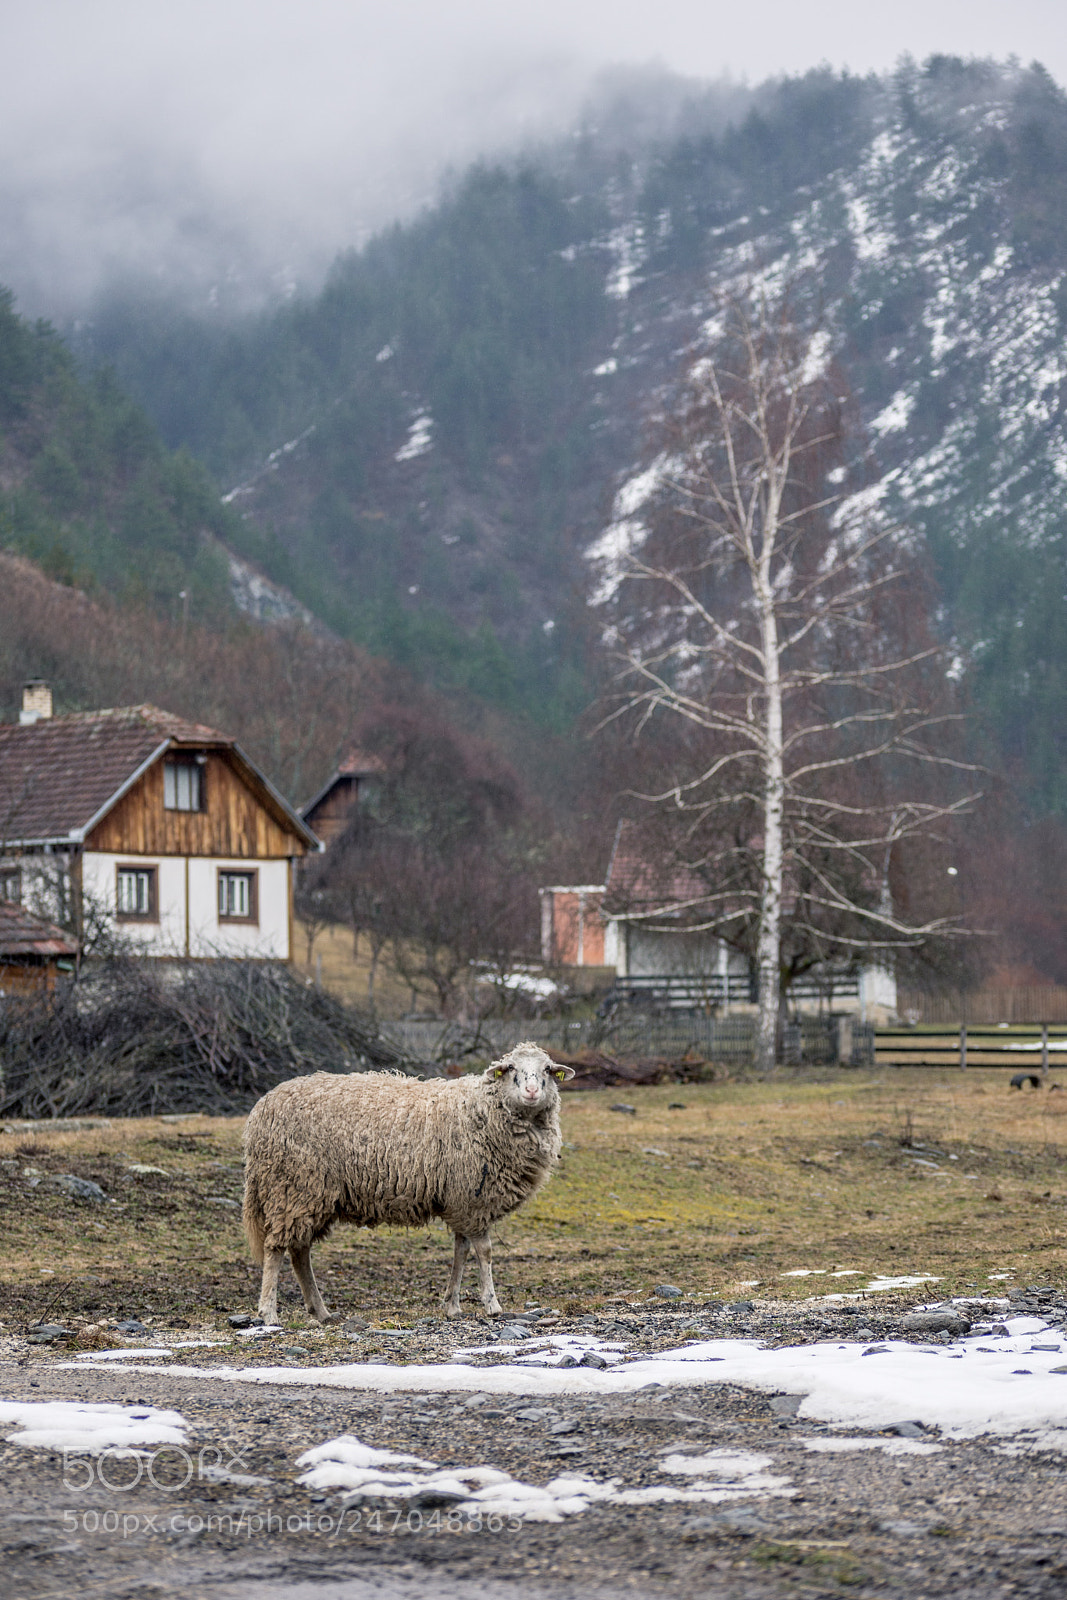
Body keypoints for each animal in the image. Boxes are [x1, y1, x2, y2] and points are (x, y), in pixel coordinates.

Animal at [242, 1042, 575, 1323]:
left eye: (547, 1069)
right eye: (511, 1068)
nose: (531, 1091)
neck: (480, 1110)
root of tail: (261, 1109)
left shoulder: (462, 1202)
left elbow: (461, 1251)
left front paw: (452, 1305)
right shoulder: (474, 1200)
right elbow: (485, 1253)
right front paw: (491, 1304)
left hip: (311, 1194)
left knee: (299, 1252)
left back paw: (320, 1311)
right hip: (292, 1185)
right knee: (275, 1249)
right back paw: (269, 1313)